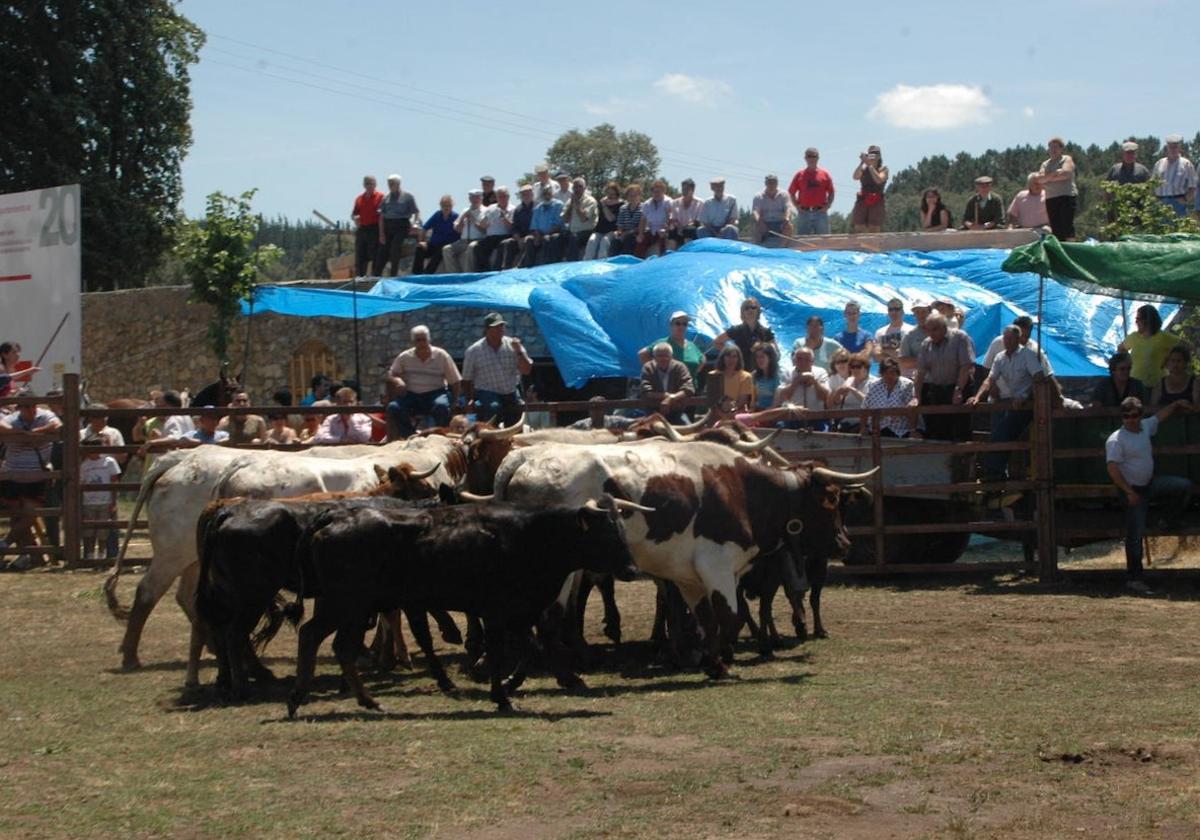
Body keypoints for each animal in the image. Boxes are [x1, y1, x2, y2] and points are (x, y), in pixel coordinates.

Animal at [286, 494, 643, 720]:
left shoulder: (518, 612)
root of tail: (334, 516)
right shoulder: (498, 612)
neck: (531, 535)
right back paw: (298, 698)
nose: (631, 570)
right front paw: (503, 695)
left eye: (622, 530)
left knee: (340, 646)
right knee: (312, 635)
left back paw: (367, 700)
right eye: (605, 534)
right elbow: (503, 651)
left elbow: (531, 646)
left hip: (353, 609)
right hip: (345, 604)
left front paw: (513, 685)